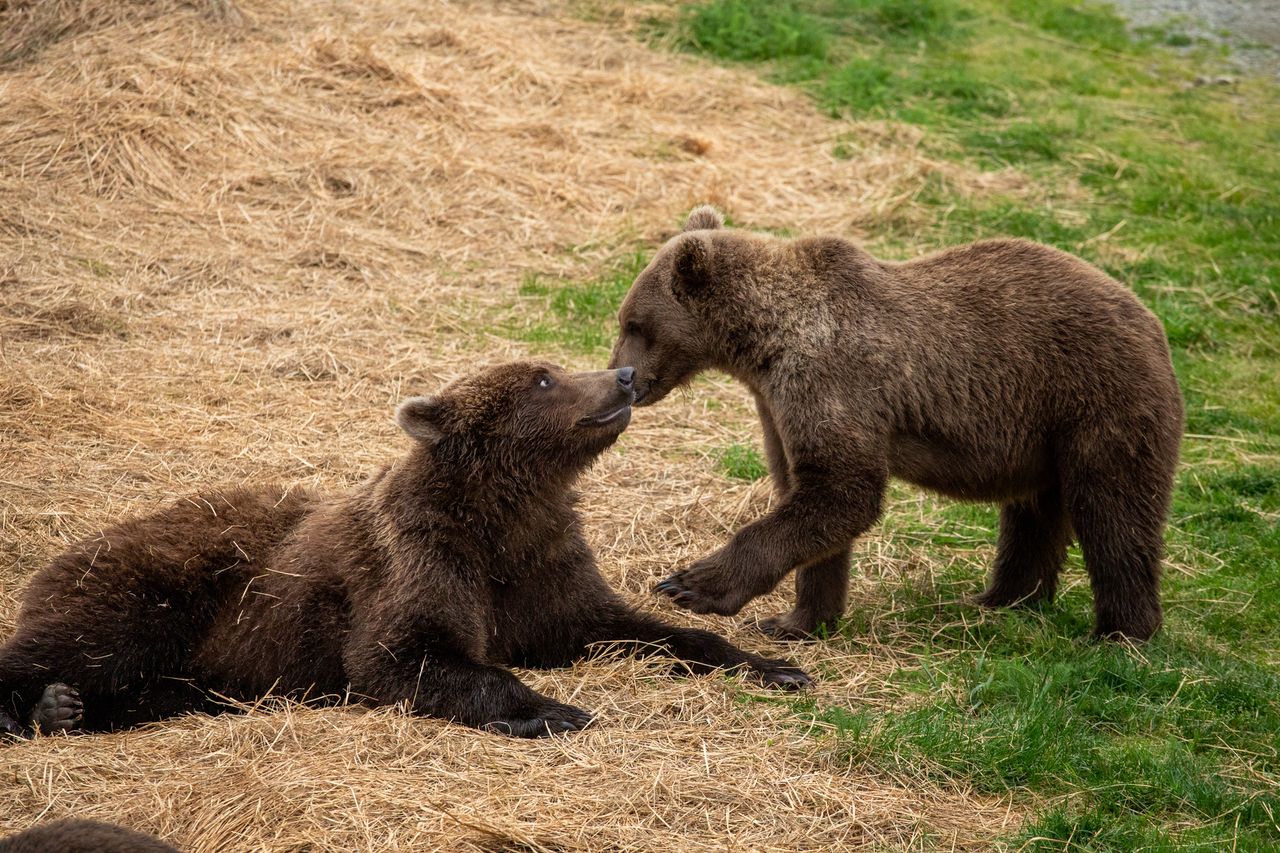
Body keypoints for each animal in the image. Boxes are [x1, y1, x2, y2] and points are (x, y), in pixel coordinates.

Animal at [0, 361, 811, 740]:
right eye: (542, 377)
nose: (623, 375)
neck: (502, 515)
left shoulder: (543, 570)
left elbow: (624, 625)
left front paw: (774, 664)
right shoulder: (420, 559)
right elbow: (405, 656)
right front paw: (553, 709)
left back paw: (67, 708)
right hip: (158, 586)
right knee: (79, 639)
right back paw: (42, 703)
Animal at [607, 206, 1184, 641]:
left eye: (635, 324)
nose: (624, 376)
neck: (764, 344)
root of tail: (1154, 325)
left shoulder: (831, 378)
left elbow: (843, 490)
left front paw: (691, 584)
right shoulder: (776, 404)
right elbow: (808, 496)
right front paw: (796, 620)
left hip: (1097, 403)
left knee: (1113, 512)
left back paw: (1119, 632)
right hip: (1044, 435)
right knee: (1033, 515)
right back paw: (1000, 599)